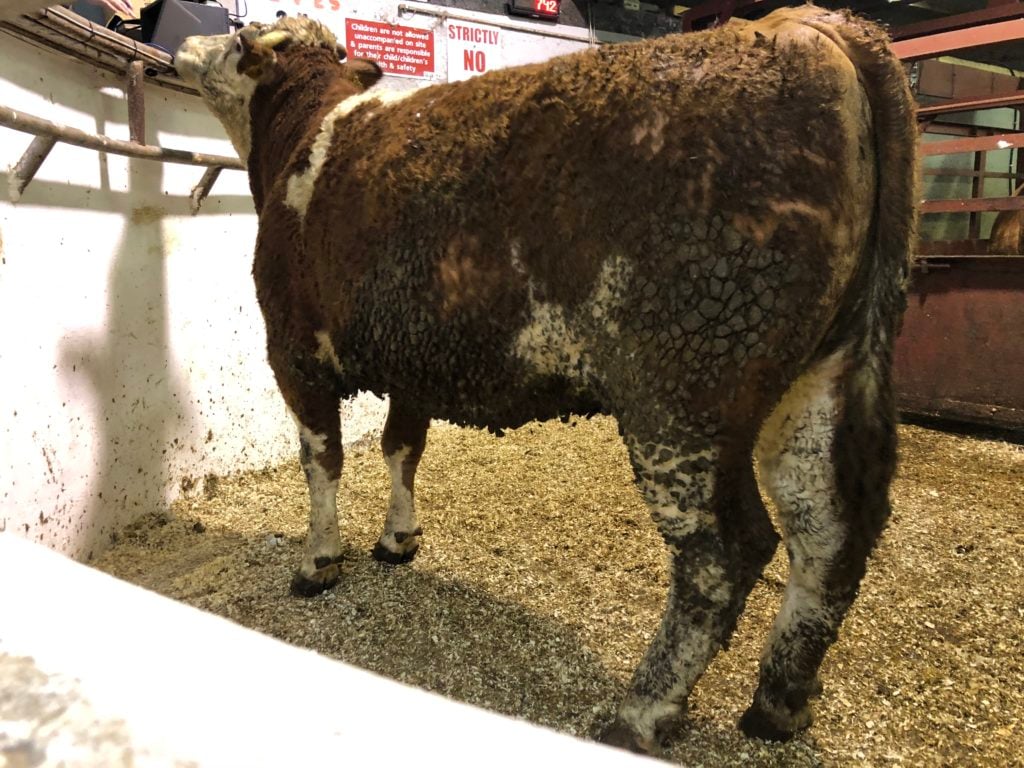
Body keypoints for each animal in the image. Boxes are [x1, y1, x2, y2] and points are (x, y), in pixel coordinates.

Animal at [175, 6, 917, 755]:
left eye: (238, 40)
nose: (185, 39)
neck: (302, 137)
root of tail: (808, 28)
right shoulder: (413, 361)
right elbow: (401, 449)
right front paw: (397, 541)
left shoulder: (292, 348)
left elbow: (320, 460)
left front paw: (318, 562)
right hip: (821, 370)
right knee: (827, 527)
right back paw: (778, 704)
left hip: (684, 386)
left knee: (726, 551)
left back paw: (640, 712)